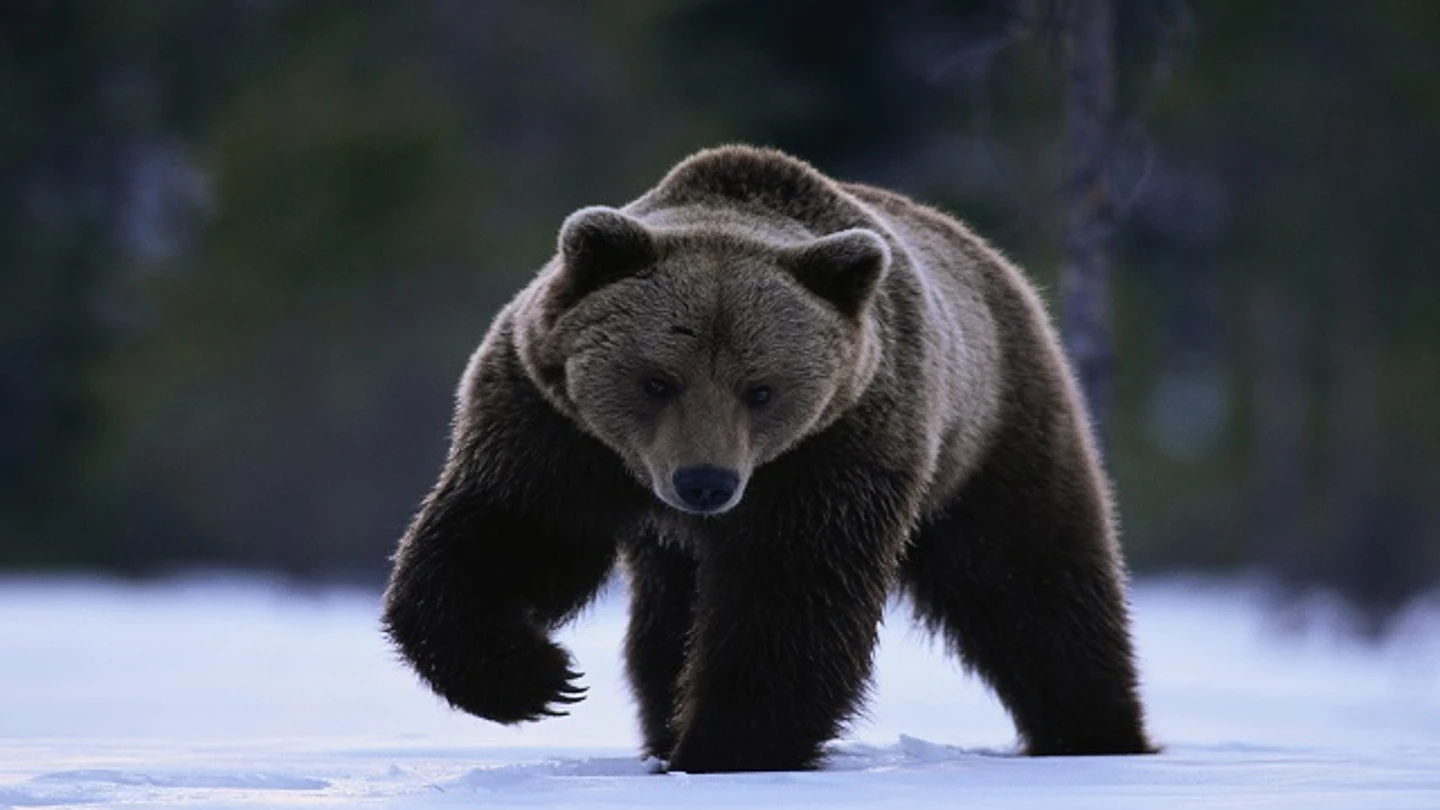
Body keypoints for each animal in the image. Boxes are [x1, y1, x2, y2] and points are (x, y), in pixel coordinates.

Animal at [381, 145, 1153, 773]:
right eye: (657, 379)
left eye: (762, 389)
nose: (705, 483)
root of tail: (995, 261)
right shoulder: (554, 429)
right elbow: (507, 535)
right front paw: (538, 679)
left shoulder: (835, 451)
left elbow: (790, 595)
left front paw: (725, 749)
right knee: (665, 624)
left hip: (993, 432)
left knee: (1032, 582)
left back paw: (1096, 733)